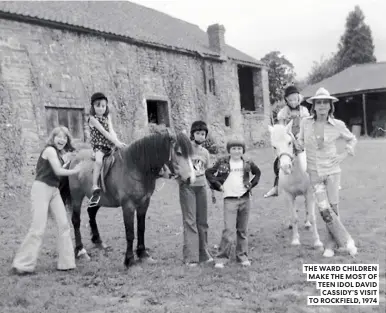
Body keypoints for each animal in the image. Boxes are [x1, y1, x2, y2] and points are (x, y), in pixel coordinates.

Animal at [63, 128, 196, 266]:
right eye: (179, 152)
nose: (191, 178)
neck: (136, 167)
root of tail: (74, 159)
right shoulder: (128, 206)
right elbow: (130, 232)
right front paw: (129, 259)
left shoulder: (144, 203)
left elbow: (141, 228)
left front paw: (143, 254)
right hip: (77, 196)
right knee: (76, 220)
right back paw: (81, 250)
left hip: (98, 199)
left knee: (91, 213)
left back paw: (98, 241)